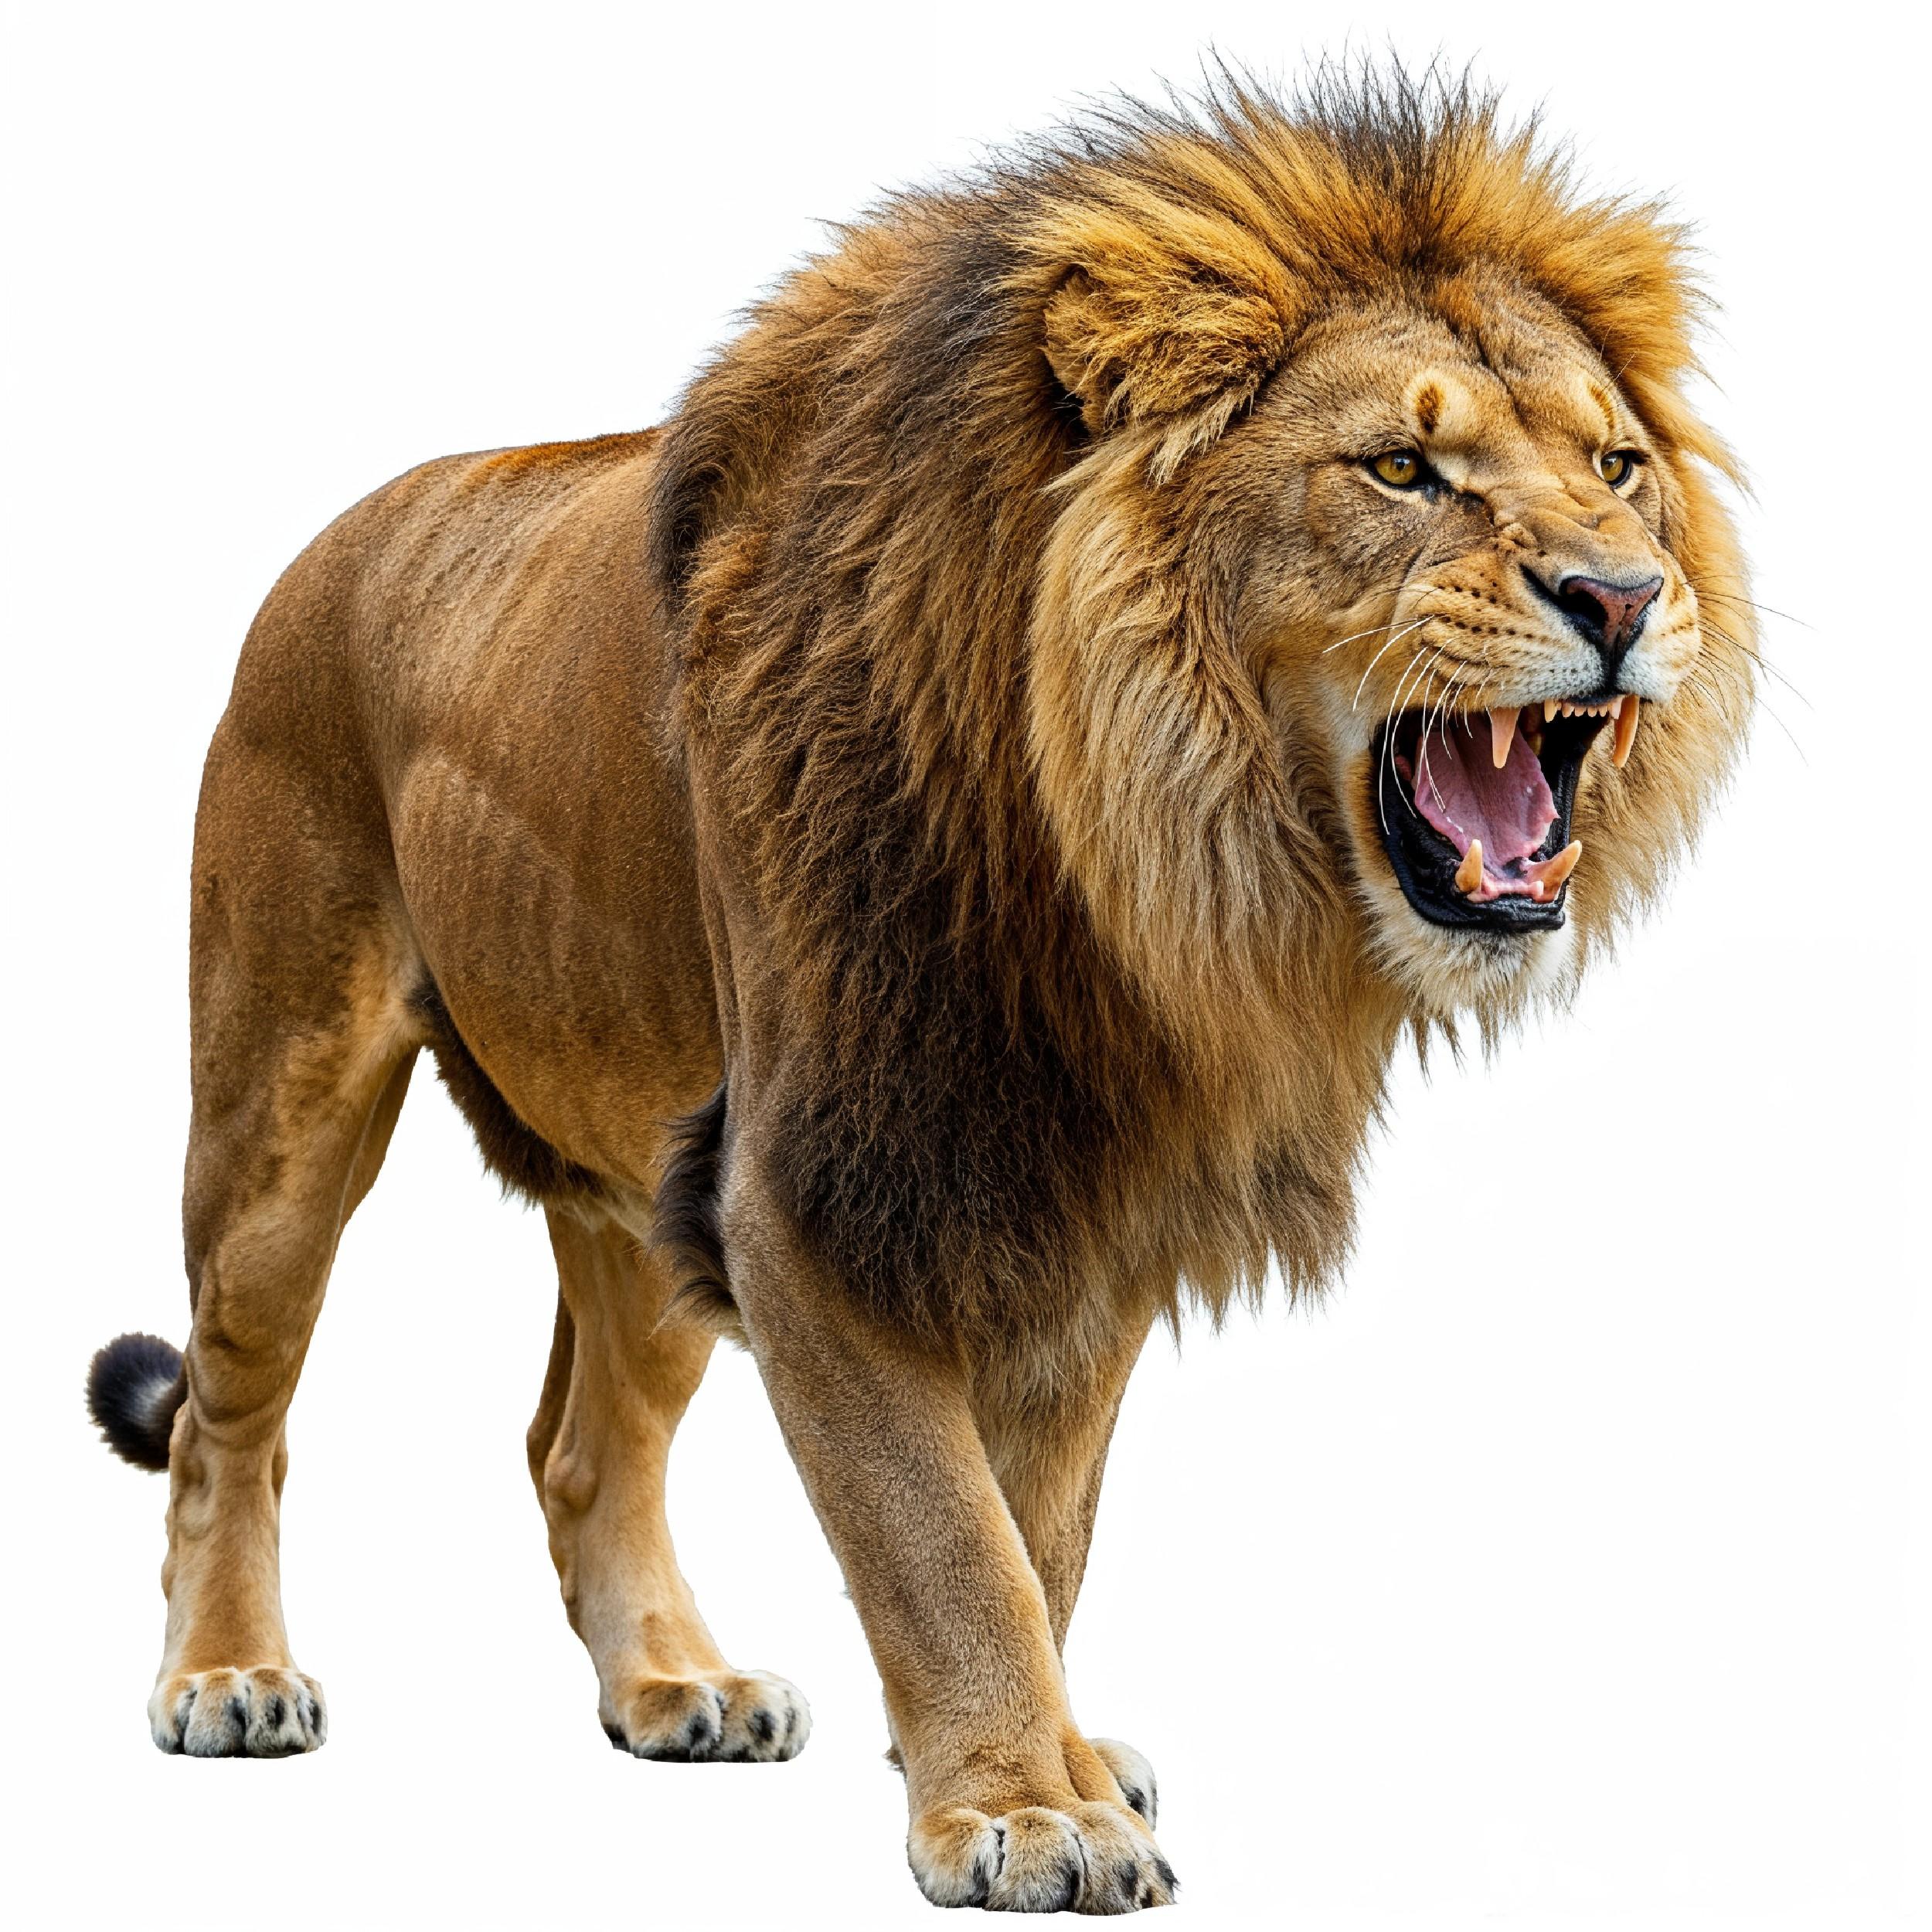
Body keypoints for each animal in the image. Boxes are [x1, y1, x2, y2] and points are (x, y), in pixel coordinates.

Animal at [86, 70, 1753, 1912]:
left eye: (1615, 467)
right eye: (1400, 466)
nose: (1623, 594)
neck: (1122, 877)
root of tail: (338, 531)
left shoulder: (1089, 1203)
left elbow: (1042, 1532)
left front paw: (1039, 1766)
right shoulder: (809, 1189)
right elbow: (941, 1533)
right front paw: (1028, 1812)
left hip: (638, 1178)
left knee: (581, 1448)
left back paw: (673, 1685)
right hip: (281, 1101)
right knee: (232, 1409)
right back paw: (228, 1673)